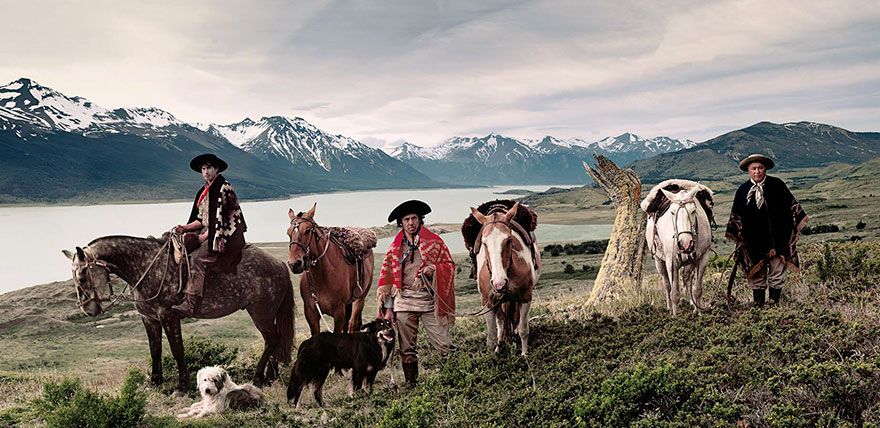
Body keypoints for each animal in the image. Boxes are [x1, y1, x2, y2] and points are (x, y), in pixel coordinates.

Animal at [63, 234, 296, 394]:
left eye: (82, 275)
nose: (87, 309)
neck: (146, 267)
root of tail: (279, 264)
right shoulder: (149, 319)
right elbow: (155, 351)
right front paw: (155, 382)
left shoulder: (169, 317)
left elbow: (177, 350)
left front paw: (182, 385)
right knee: (274, 341)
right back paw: (271, 377)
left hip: (260, 313)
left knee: (271, 339)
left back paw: (258, 378)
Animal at [286, 206, 374, 336]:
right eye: (288, 233)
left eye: (307, 230)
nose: (294, 264)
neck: (322, 278)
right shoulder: (311, 314)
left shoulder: (339, 313)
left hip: (359, 300)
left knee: (352, 324)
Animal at [470, 202, 540, 356]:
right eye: (484, 243)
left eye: (509, 240)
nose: (499, 284)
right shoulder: (488, 302)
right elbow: (491, 337)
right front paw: (492, 355)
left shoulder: (525, 297)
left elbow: (523, 329)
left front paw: (524, 355)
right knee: (501, 321)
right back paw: (500, 345)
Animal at [644, 182, 712, 316]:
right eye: (672, 212)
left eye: (693, 210)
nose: (685, 244)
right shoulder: (672, 263)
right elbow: (674, 293)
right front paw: (675, 316)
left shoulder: (703, 259)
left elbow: (697, 289)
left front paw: (698, 312)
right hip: (659, 261)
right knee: (667, 284)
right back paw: (669, 307)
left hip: (689, 262)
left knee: (687, 278)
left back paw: (691, 303)